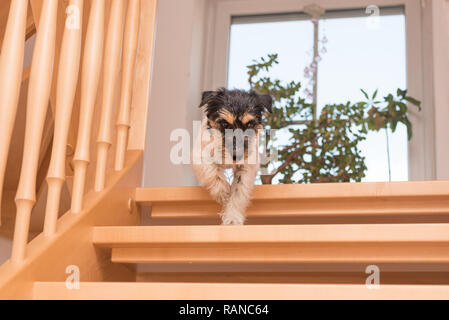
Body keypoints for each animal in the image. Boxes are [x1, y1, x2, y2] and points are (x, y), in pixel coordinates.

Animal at [191, 87, 272, 225]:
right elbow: (211, 171)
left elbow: (238, 191)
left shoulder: (246, 167)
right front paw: (223, 193)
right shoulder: (200, 155)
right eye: (224, 124)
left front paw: (232, 218)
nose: (236, 156)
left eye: (249, 125)